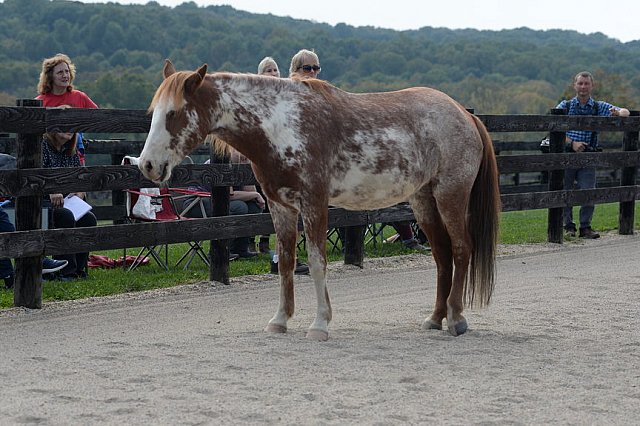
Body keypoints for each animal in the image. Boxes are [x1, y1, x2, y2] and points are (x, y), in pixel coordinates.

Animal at [139, 59, 500, 340]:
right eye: (154, 112)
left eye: (174, 113)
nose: (147, 165)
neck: (282, 126)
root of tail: (465, 115)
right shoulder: (280, 206)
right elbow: (286, 262)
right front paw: (280, 320)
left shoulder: (313, 203)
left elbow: (316, 262)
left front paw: (320, 324)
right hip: (424, 201)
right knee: (441, 255)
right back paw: (435, 318)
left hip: (450, 194)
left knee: (461, 249)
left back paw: (456, 319)